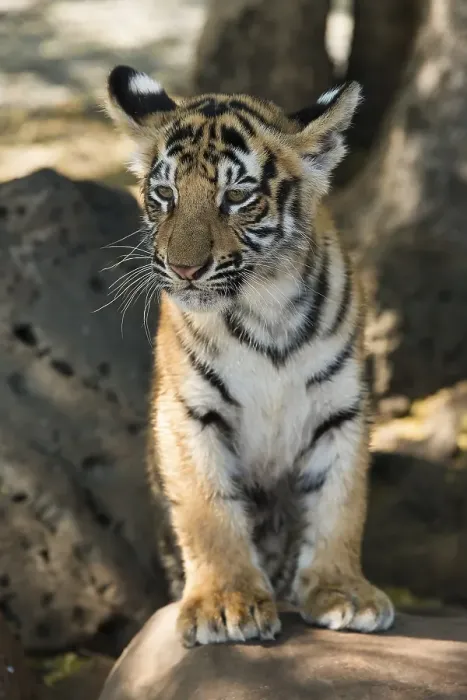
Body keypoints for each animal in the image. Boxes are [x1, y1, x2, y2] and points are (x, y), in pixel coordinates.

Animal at [105, 65, 394, 647]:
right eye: (165, 193)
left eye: (237, 195)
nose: (184, 269)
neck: (267, 306)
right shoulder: (189, 411)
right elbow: (208, 511)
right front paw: (225, 603)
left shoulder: (342, 408)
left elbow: (341, 500)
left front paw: (343, 591)